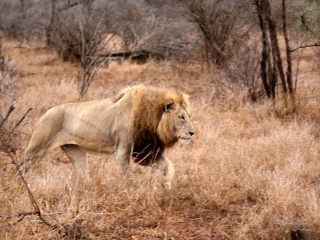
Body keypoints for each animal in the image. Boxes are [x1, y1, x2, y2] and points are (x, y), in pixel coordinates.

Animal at [20, 85, 195, 190]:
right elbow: (126, 176)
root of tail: (44, 113)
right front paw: (130, 193)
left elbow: (170, 166)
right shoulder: (123, 150)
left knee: (83, 174)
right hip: (36, 149)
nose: (192, 133)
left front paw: (166, 186)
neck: (152, 119)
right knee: (21, 168)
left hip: (75, 152)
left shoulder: (145, 151)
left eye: (188, 116)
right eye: (181, 117)